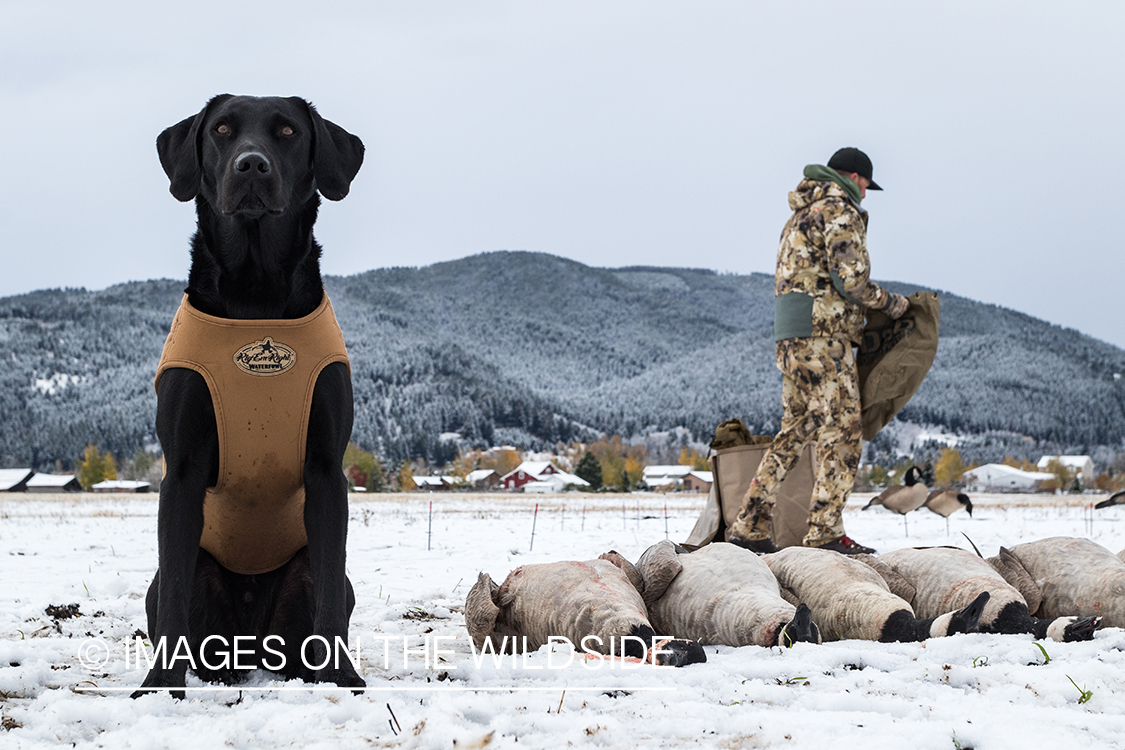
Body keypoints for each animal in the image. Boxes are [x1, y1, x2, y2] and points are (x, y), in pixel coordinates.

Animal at [133, 95, 364, 697]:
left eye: (286, 131)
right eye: (221, 130)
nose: (251, 165)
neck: (255, 294)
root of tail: (252, 644)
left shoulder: (326, 467)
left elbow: (330, 591)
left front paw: (343, 679)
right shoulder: (182, 467)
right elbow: (174, 601)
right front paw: (159, 685)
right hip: (182, 574)